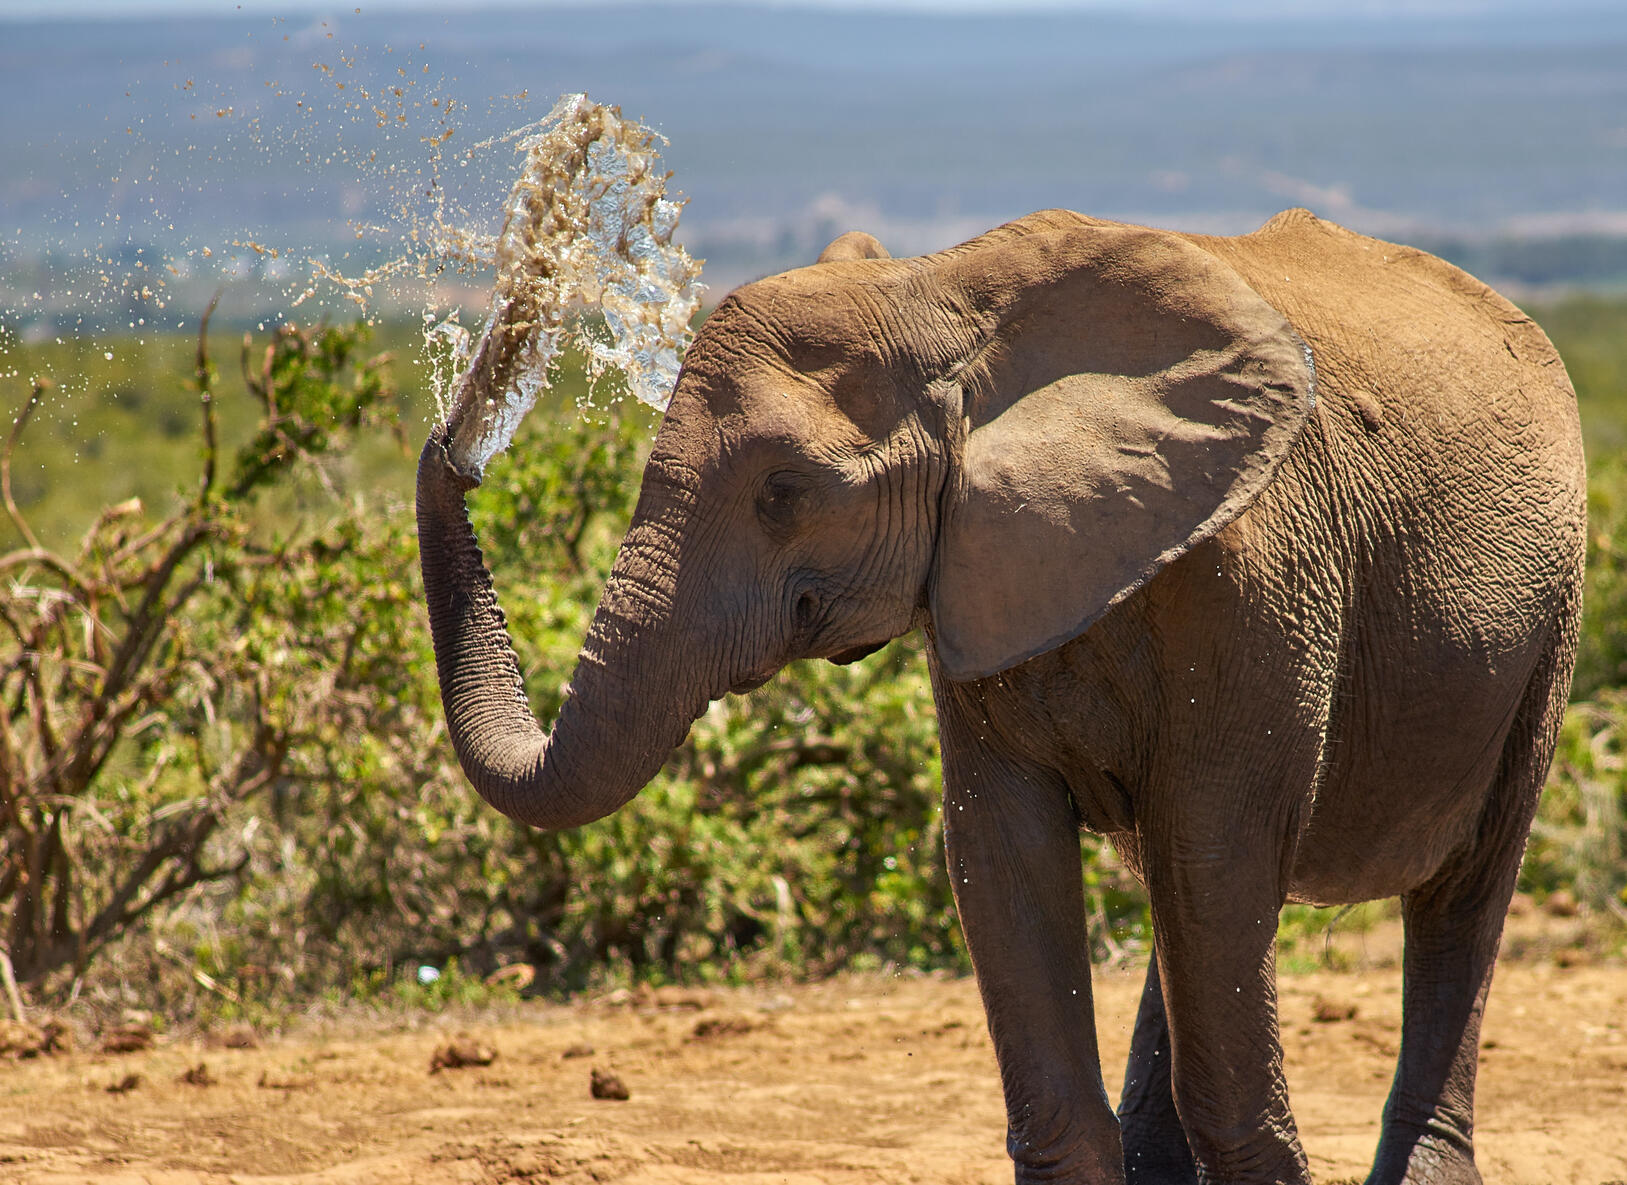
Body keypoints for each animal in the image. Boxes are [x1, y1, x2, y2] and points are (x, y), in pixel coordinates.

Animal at [416, 207, 1585, 1185]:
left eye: (784, 492)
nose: (463, 431)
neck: (944, 295)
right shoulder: (974, 574)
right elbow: (1002, 851)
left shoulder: (1255, 580)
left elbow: (1216, 848)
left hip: (1548, 621)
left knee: (1454, 890)